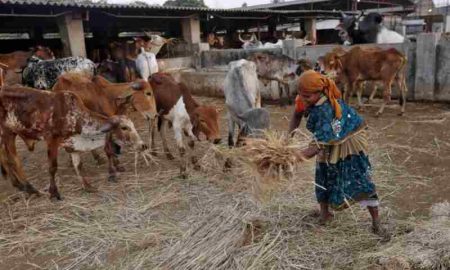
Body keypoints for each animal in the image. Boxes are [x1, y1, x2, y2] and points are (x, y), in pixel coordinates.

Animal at [0, 85, 146, 199]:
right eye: (124, 128)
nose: (143, 145)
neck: (76, 118)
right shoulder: (52, 140)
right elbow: (52, 167)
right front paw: (54, 193)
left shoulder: (72, 144)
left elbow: (78, 165)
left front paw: (87, 186)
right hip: (6, 133)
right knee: (11, 160)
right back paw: (28, 188)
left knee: (8, 159)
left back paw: (22, 186)